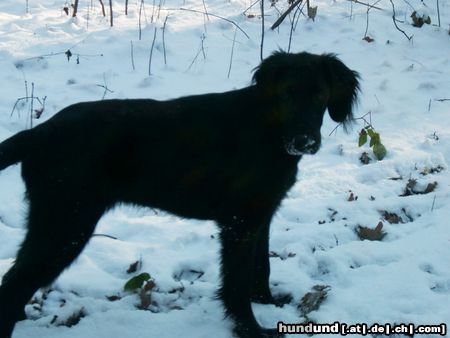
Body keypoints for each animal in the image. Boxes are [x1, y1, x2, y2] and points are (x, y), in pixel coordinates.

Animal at [0, 51, 358, 336]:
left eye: (320, 95)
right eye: (285, 95)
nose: (304, 141)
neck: (270, 131)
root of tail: (37, 132)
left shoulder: (260, 215)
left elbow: (261, 268)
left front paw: (268, 303)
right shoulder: (238, 222)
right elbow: (237, 281)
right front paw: (250, 329)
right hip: (65, 224)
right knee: (14, 285)